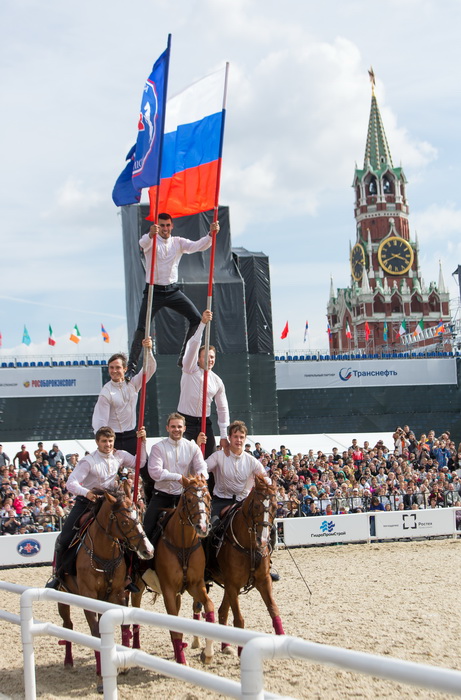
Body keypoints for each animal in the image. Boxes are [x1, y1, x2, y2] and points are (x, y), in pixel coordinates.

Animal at [57, 478, 153, 692]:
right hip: (62, 595)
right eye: (124, 522)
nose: (148, 550)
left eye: (139, 515)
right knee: (67, 625)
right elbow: (95, 634)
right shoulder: (89, 596)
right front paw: (101, 679)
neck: (104, 555)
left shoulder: (116, 594)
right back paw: (67, 661)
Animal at [145, 474, 215, 664]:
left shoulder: (195, 585)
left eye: (208, 498)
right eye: (189, 499)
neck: (182, 545)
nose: (203, 527)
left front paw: (208, 653)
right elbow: (175, 626)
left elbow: (209, 607)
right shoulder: (168, 589)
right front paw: (182, 661)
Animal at [206, 474, 282, 652]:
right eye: (256, 505)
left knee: (222, 611)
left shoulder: (263, 581)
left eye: (275, 507)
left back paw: (226, 646)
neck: (249, 546)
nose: (262, 540)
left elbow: (274, 610)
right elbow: (239, 620)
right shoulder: (233, 585)